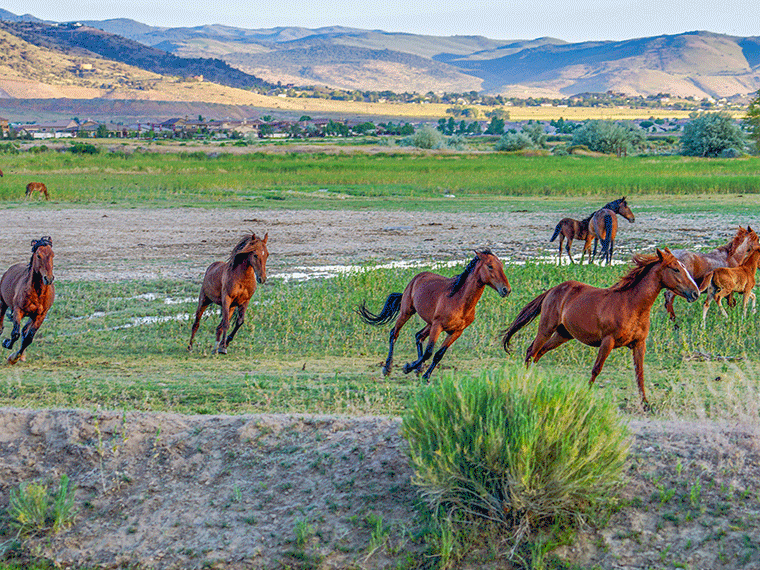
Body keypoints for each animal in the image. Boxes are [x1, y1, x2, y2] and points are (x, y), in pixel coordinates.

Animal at [0, 236, 55, 364]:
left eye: (52, 255)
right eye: (38, 255)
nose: (48, 278)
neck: (38, 293)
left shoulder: (40, 315)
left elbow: (28, 337)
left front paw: (15, 357)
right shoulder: (18, 310)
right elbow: (15, 334)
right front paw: (7, 344)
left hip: (32, 316)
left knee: (25, 331)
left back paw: (22, 356)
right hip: (2, 303)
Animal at [356, 250, 510, 380]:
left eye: (502, 265)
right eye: (490, 266)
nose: (506, 290)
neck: (459, 301)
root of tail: (416, 278)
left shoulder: (456, 332)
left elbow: (438, 354)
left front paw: (425, 375)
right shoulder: (438, 326)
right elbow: (429, 352)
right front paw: (407, 368)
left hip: (429, 322)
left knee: (418, 336)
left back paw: (418, 369)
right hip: (407, 312)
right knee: (394, 333)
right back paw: (388, 368)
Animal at [502, 248, 704, 404]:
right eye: (675, 269)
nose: (695, 293)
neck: (632, 305)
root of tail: (553, 290)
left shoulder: (639, 344)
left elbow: (640, 374)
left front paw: (646, 404)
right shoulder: (608, 341)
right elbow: (596, 369)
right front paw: (586, 394)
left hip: (563, 335)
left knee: (539, 353)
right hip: (546, 328)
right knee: (531, 351)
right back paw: (525, 380)